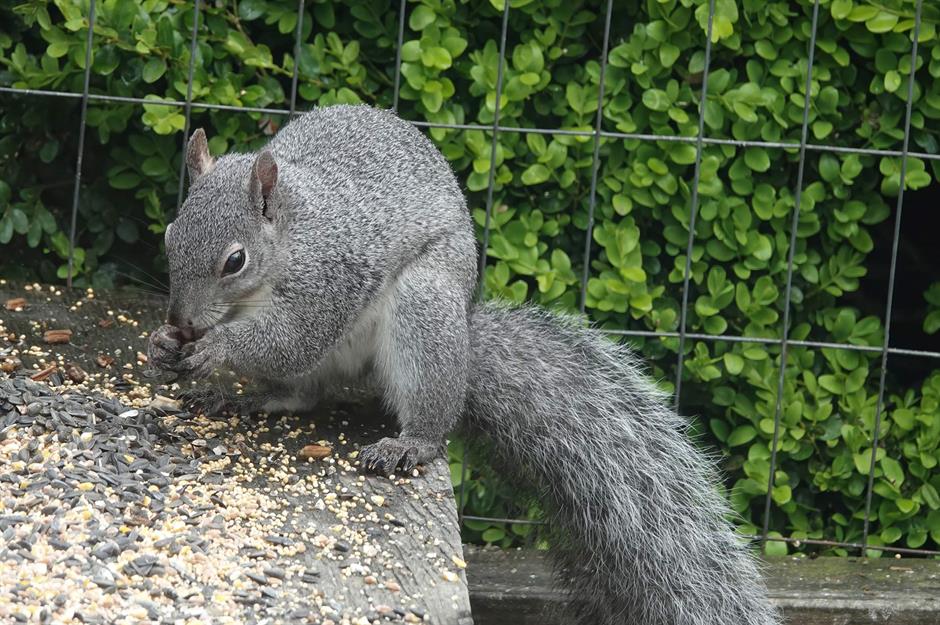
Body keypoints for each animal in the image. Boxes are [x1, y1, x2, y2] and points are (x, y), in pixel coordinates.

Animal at [149, 104, 779, 625]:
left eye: (234, 261)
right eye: (170, 235)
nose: (182, 320)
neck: (290, 233)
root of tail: (466, 339)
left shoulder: (328, 278)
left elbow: (291, 338)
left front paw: (214, 350)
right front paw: (164, 344)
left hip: (424, 310)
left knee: (419, 410)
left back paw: (410, 443)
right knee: (303, 393)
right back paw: (247, 397)